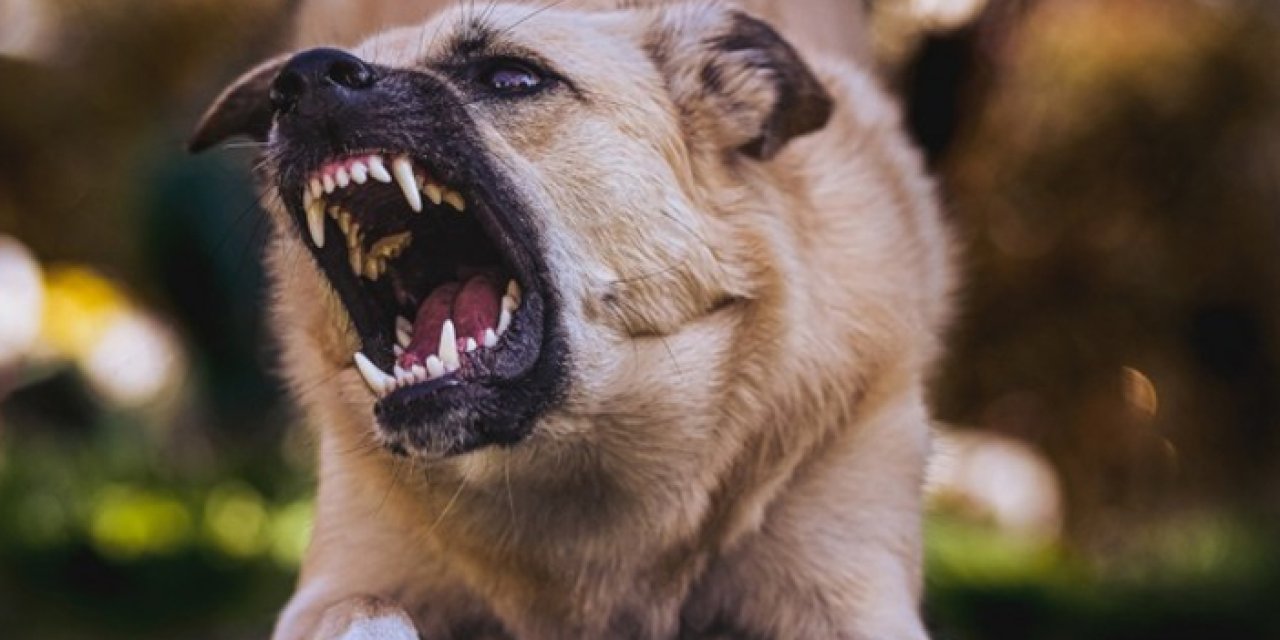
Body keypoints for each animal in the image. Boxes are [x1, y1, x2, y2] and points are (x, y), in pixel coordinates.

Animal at [189, 2, 952, 637]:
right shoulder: (341, 579)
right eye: (286, 90)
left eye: (512, 76)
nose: (303, 79)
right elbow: (367, 610)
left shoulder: (848, 590)